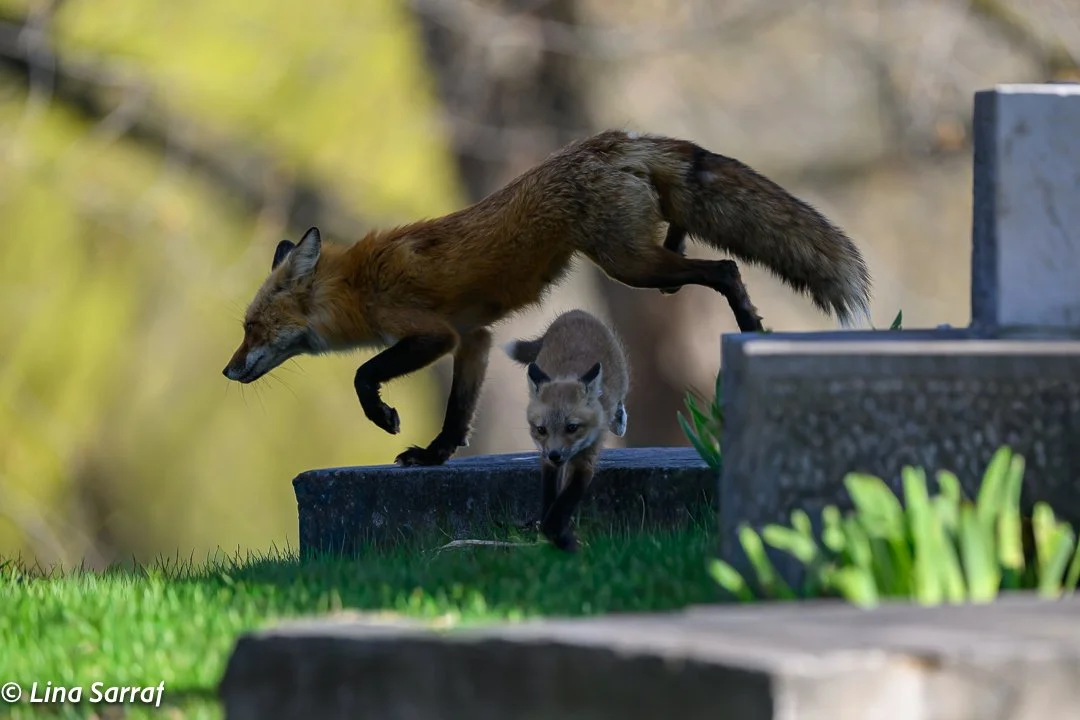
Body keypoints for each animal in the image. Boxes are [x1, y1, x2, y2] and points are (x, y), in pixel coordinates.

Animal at [222, 129, 872, 468]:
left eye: (254, 328)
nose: (228, 371)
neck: (358, 283)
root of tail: (617, 140)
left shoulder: (434, 333)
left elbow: (363, 373)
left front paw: (383, 415)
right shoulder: (475, 338)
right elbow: (458, 413)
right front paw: (436, 455)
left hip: (629, 266)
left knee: (728, 267)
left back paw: (751, 326)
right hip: (642, 260)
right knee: (688, 246)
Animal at [503, 309, 629, 552]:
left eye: (572, 427)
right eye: (541, 429)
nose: (555, 454)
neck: (567, 374)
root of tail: (573, 312)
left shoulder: (586, 460)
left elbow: (561, 507)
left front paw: (567, 543)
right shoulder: (547, 460)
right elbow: (550, 504)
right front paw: (558, 538)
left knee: (619, 401)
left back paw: (618, 419)